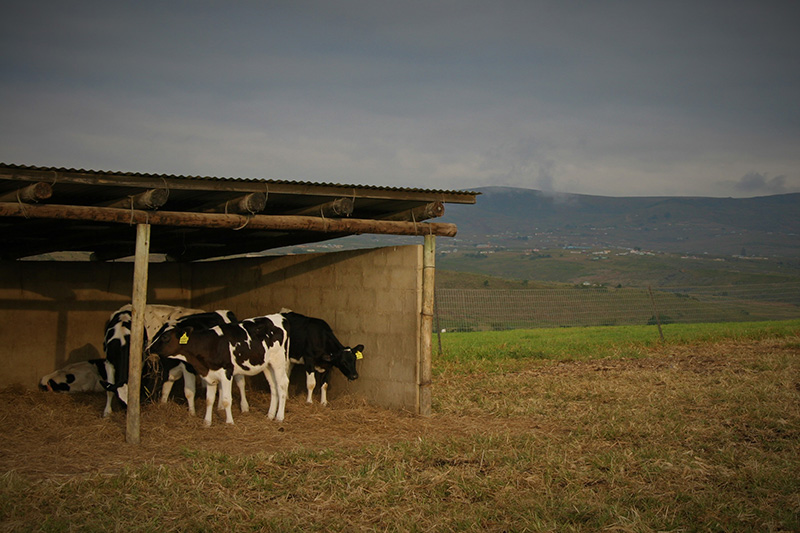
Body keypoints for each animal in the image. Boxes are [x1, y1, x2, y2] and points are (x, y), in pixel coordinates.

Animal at [148, 314, 290, 426]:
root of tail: (278, 317)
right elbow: (209, 400)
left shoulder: (226, 372)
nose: (149, 348)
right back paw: (270, 415)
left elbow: (227, 400)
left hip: (279, 361)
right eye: (157, 335)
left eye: (165, 337)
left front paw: (229, 422)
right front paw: (207, 422)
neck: (210, 344)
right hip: (267, 365)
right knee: (273, 386)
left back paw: (279, 417)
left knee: (282, 384)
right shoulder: (210, 375)